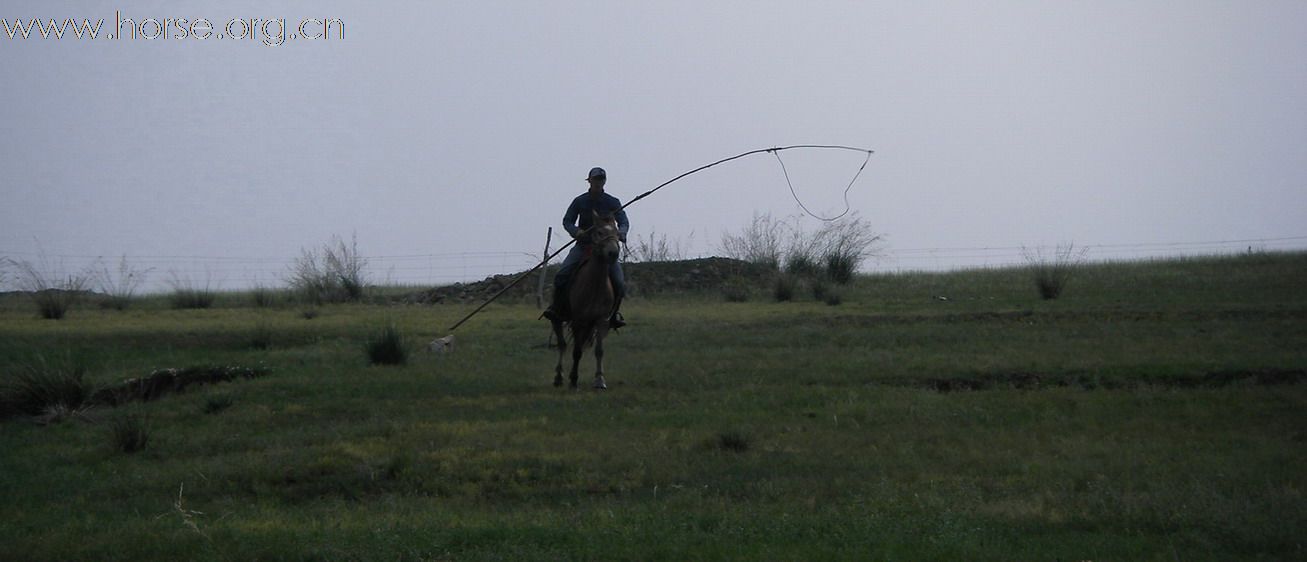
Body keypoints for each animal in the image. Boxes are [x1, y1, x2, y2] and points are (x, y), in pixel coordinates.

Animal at [546, 210, 616, 389]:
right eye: (599, 232)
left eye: (618, 233)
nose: (613, 253)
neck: (595, 285)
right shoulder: (578, 320)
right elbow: (576, 351)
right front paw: (573, 380)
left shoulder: (601, 321)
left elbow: (599, 351)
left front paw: (599, 380)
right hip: (558, 319)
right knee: (562, 344)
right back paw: (559, 377)